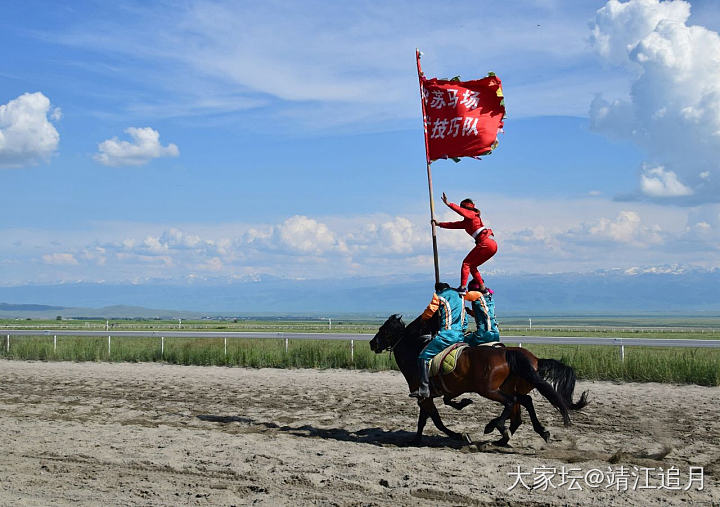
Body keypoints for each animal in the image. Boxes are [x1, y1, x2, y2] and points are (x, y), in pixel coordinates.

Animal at [368, 312, 588, 446]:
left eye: (384, 329)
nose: (372, 343)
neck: (416, 354)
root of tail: (510, 353)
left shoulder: (424, 396)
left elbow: (436, 420)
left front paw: (459, 435)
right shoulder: (428, 396)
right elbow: (426, 419)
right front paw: (416, 439)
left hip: (490, 390)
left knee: (512, 403)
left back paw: (495, 427)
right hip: (509, 388)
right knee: (522, 404)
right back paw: (524, 433)